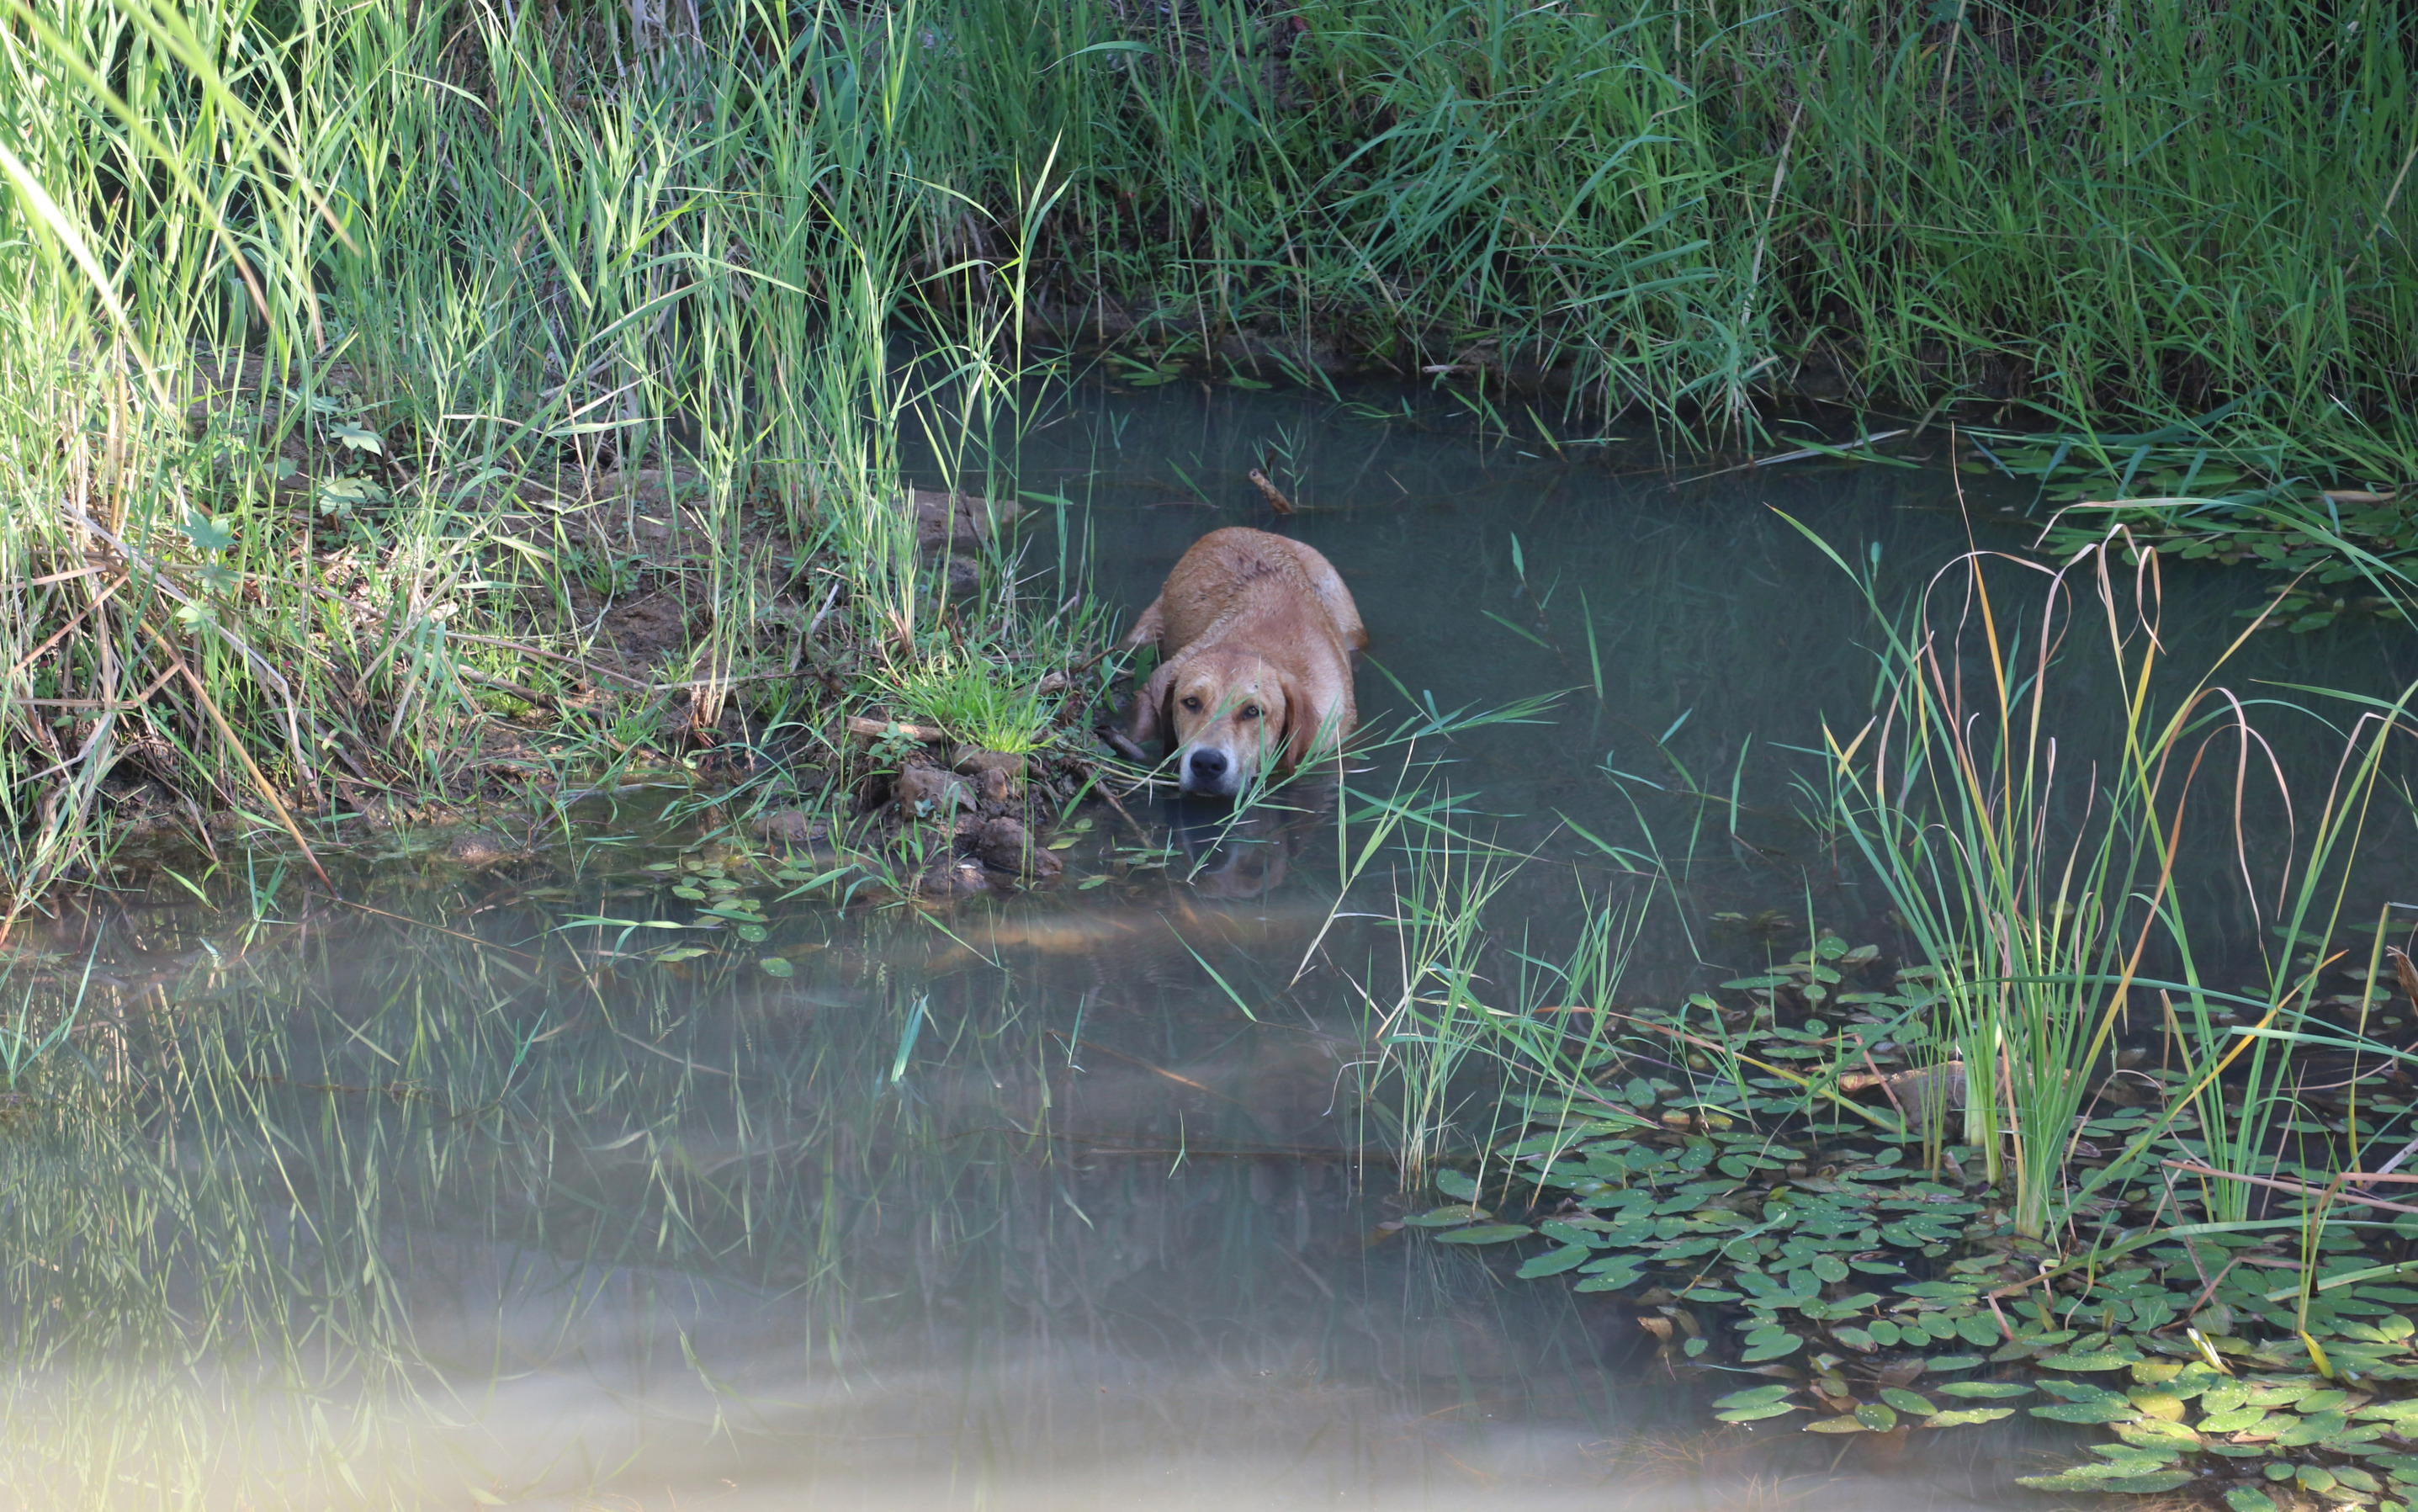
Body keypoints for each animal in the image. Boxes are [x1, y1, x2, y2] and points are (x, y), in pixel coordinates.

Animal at [1112, 527, 1363, 798]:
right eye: (1191, 702)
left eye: (1253, 711)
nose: (1207, 763)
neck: (1252, 646)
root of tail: (1244, 529)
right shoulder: (1155, 685)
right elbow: (1142, 729)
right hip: (1142, 635)